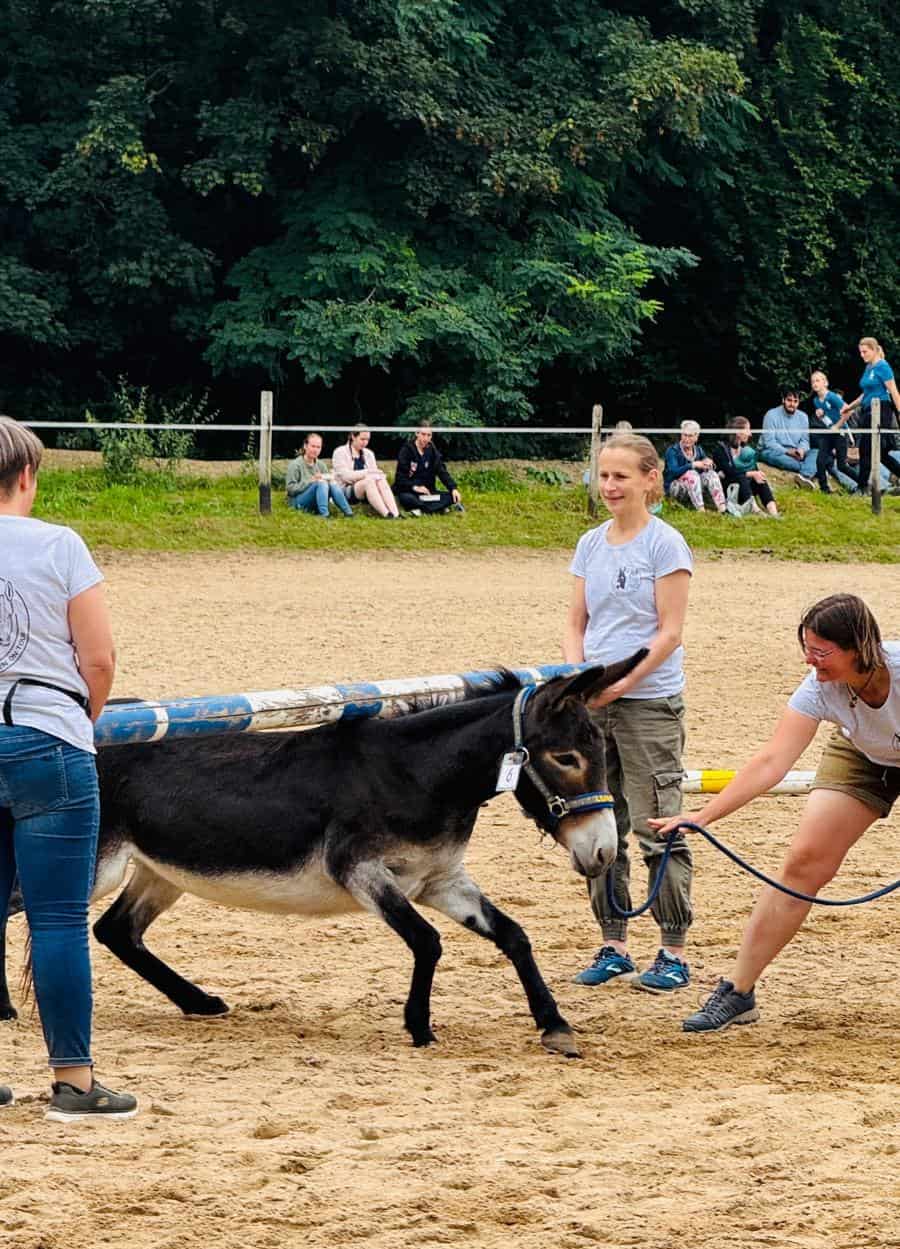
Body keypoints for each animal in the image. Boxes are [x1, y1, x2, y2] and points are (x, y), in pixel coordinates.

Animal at [1, 652, 645, 1054]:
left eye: (600, 750)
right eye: (565, 757)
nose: (602, 851)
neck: (414, 774)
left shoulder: (439, 878)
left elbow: (513, 936)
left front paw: (554, 1026)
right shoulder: (361, 871)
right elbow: (427, 942)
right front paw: (419, 1025)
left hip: (160, 872)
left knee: (117, 931)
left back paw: (199, 1002)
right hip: (92, 862)